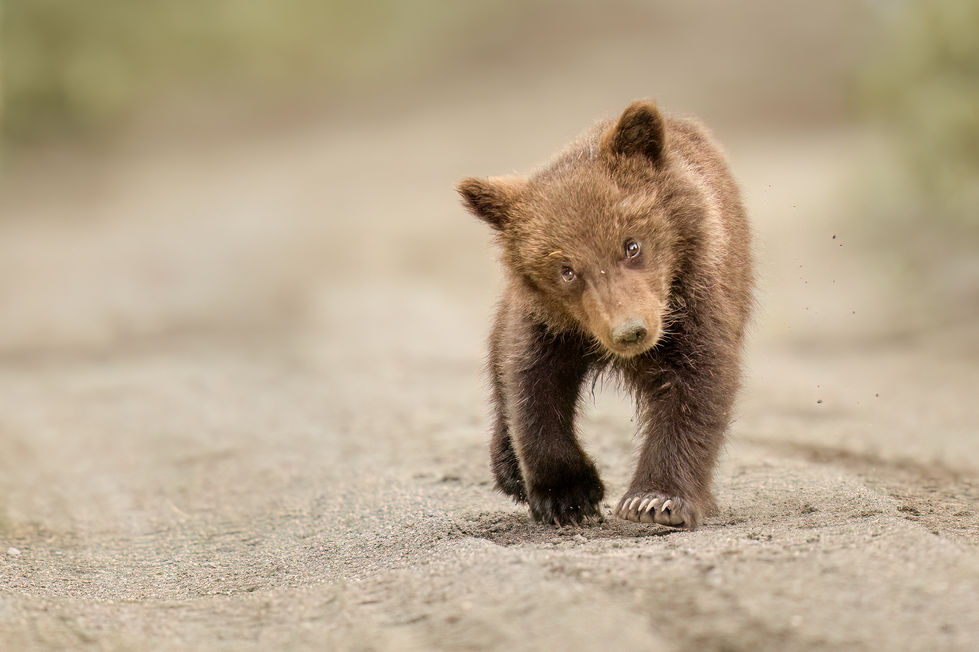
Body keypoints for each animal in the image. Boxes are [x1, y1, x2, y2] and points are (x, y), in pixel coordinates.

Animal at [456, 100, 752, 529]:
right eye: (566, 269)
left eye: (631, 245)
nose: (630, 331)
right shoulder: (549, 322)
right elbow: (532, 386)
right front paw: (569, 496)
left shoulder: (695, 304)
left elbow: (697, 385)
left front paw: (655, 500)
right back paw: (509, 469)